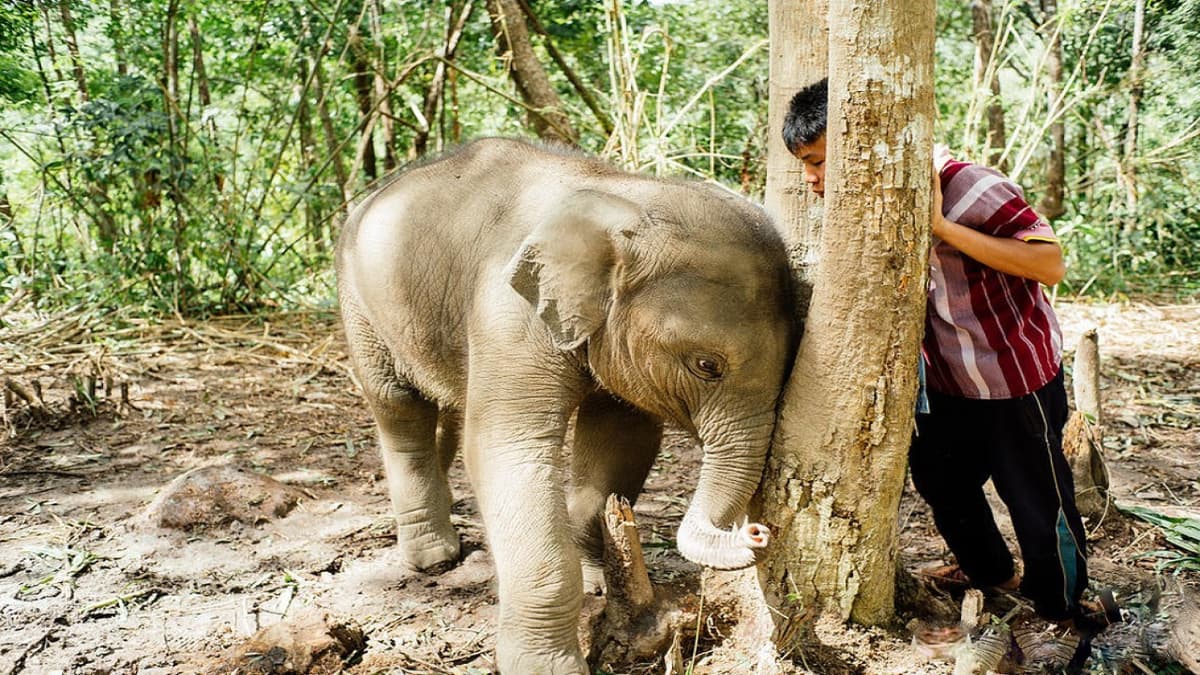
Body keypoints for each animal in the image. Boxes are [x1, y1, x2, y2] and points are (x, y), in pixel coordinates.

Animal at [335, 138, 801, 673]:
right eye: (707, 366)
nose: (759, 532)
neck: (624, 198)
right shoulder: (507, 311)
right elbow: (506, 448)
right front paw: (548, 665)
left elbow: (623, 438)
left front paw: (597, 579)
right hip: (358, 305)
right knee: (399, 407)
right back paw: (434, 557)